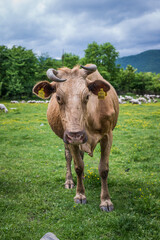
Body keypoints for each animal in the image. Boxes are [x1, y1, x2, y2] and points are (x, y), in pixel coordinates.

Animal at [33, 64, 119, 212]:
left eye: (87, 96)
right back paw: (69, 181)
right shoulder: (69, 138)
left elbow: (103, 169)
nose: (76, 135)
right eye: (58, 97)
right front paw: (80, 195)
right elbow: (78, 166)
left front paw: (106, 201)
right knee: (69, 157)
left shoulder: (107, 136)